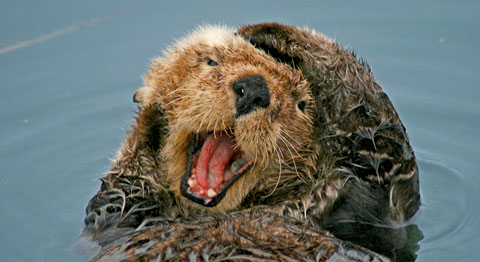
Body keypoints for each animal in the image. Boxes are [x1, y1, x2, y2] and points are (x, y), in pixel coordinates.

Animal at [83, 23, 420, 262]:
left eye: (301, 105)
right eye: (211, 62)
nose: (255, 87)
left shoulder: (373, 207)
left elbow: (386, 147)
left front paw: (267, 32)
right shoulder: (119, 207)